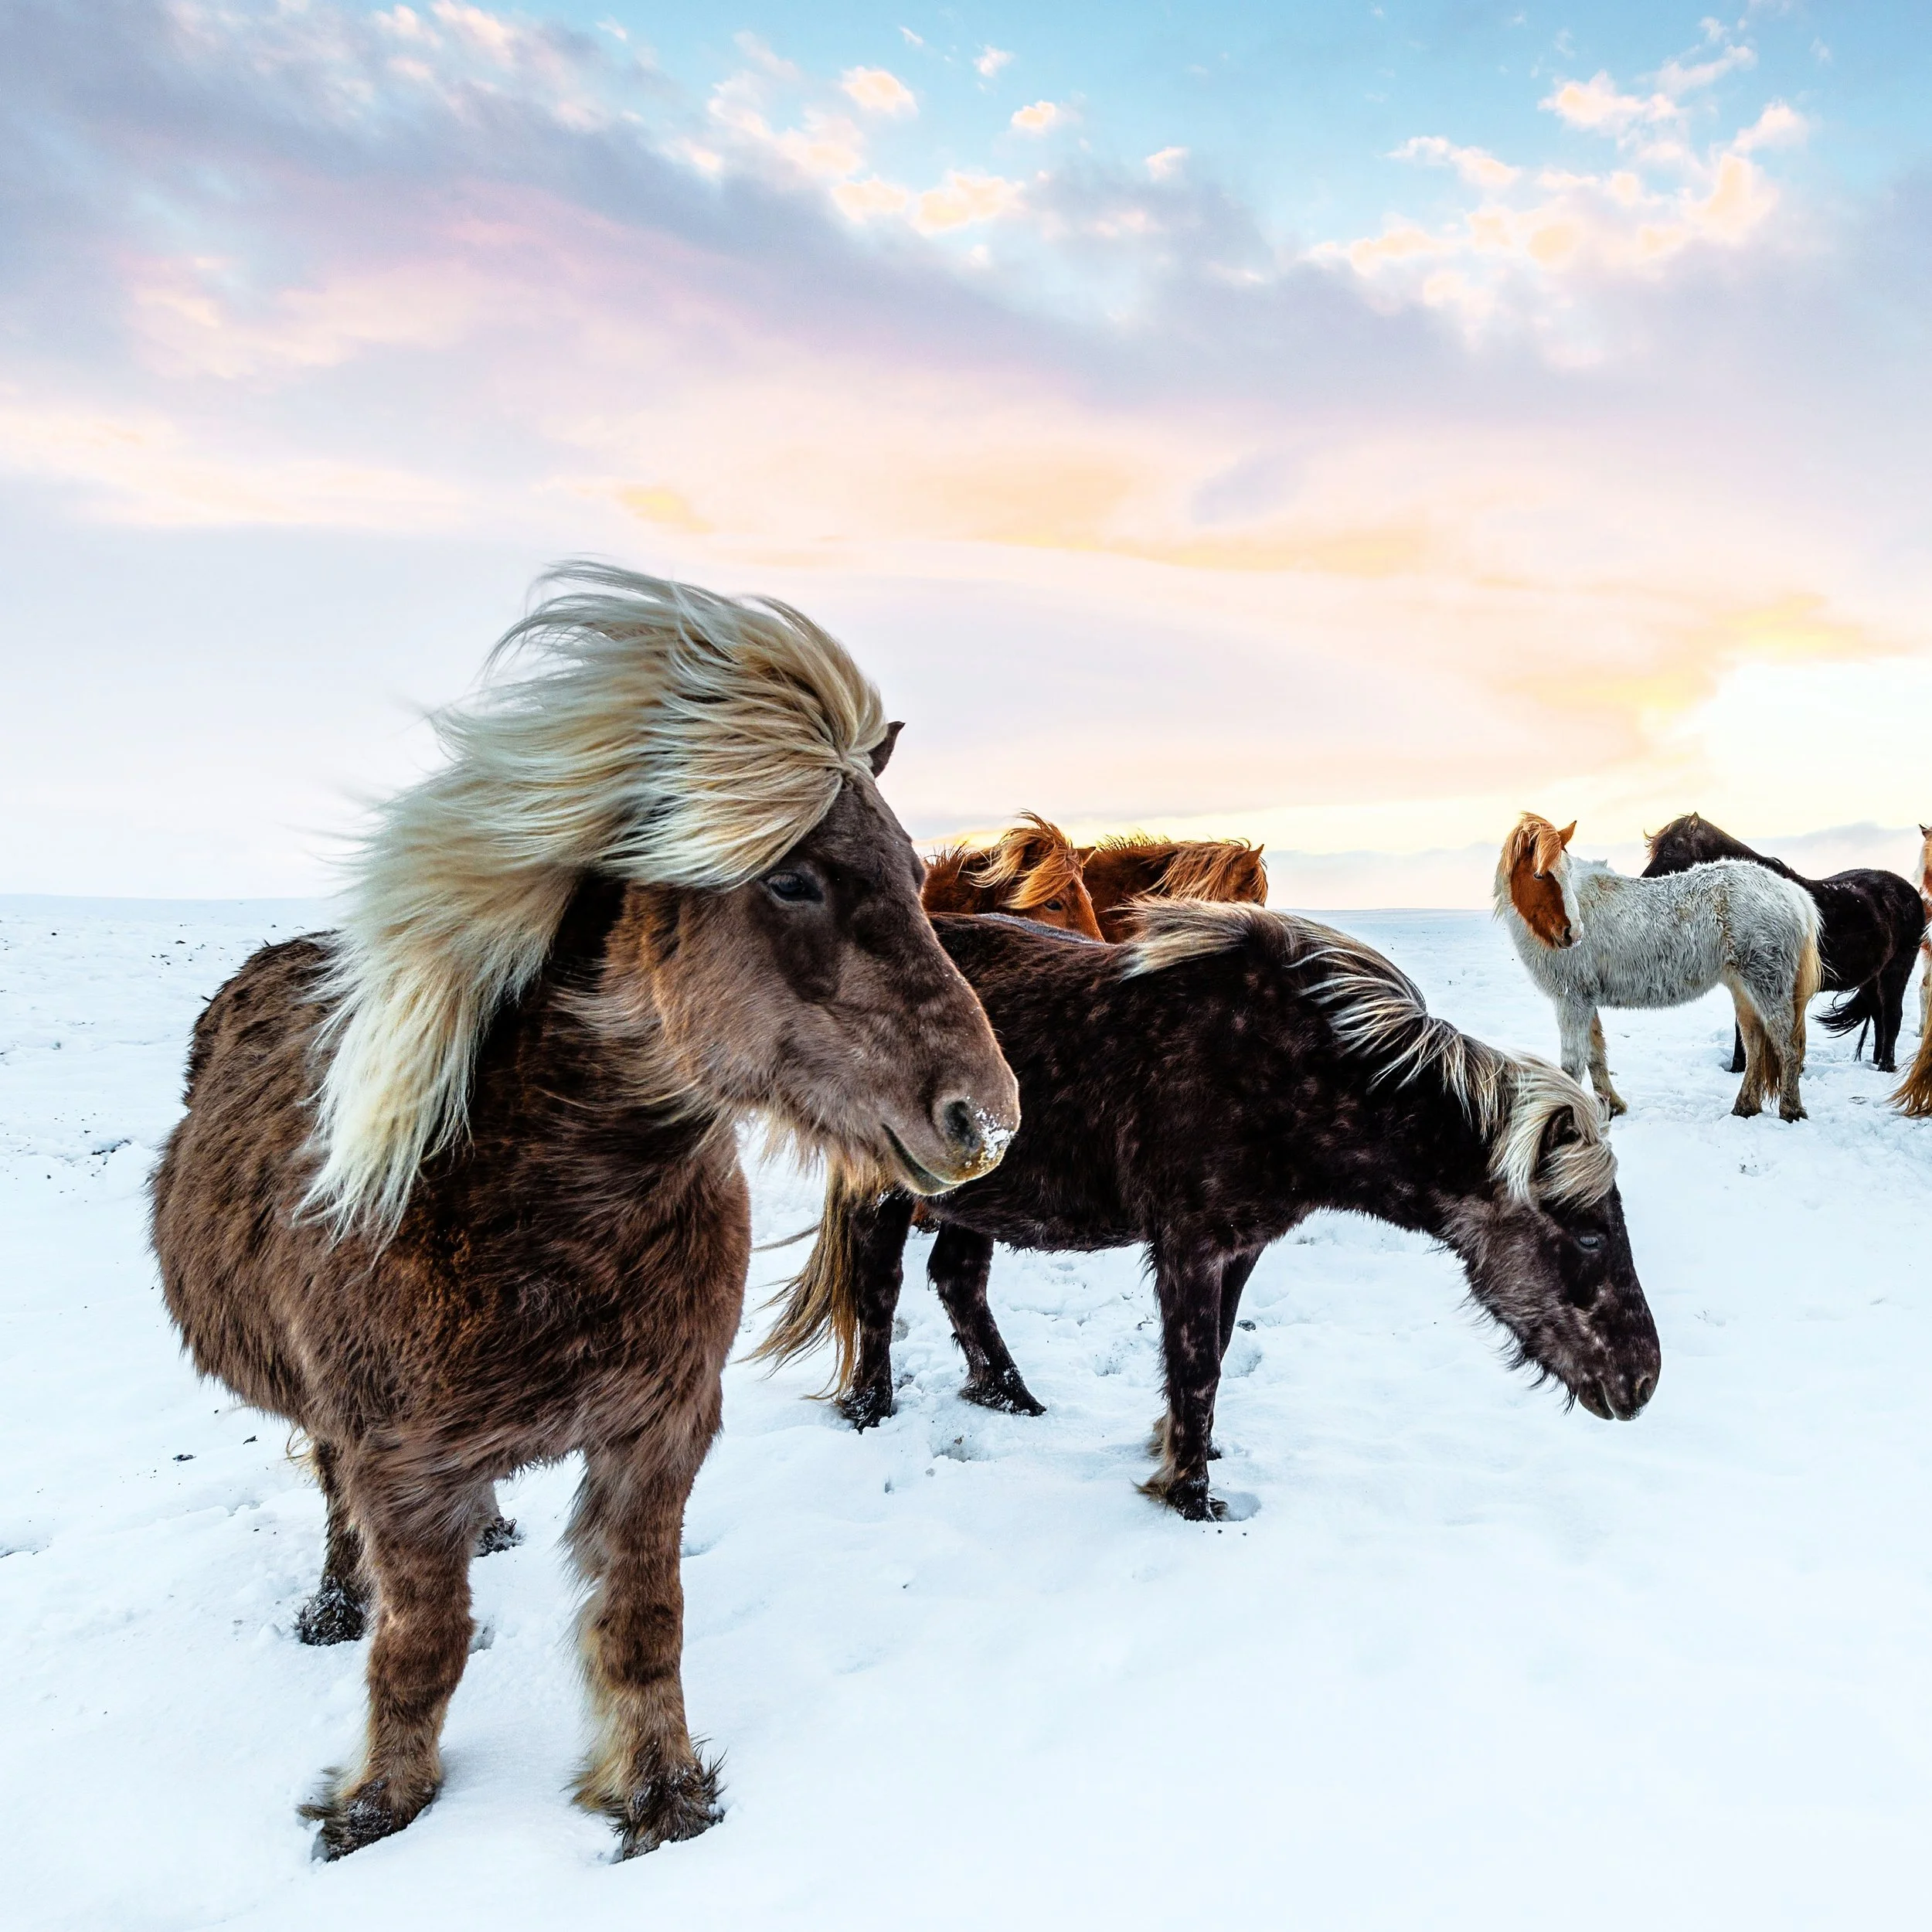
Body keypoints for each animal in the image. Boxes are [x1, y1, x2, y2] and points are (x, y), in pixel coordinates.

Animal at [149, 568, 1018, 1861]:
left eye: (919, 876)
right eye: (793, 878)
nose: (987, 1118)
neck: (538, 1214)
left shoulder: (657, 1436)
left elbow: (642, 1624)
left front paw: (659, 1798)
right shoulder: (400, 1467)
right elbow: (422, 1646)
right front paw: (378, 1807)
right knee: (331, 1496)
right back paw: (335, 1602)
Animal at [760, 903, 1661, 1518]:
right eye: (1588, 1233)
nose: (1643, 1381)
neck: (1293, 1070)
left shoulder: (1241, 1247)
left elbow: (1214, 1354)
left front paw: (1189, 1452)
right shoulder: (1190, 1245)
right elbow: (1194, 1363)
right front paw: (1191, 1497)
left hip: (975, 1196)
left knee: (957, 1279)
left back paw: (1013, 1400)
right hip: (887, 1192)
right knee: (877, 1289)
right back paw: (872, 1410)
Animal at [1498, 814, 1822, 1122]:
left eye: (1567, 872)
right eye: (1539, 875)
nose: (1573, 934)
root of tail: (1793, 893)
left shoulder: (1572, 999)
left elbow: (1572, 1066)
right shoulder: (1584, 999)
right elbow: (1595, 1055)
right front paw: (1611, 1106)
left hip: (1767, 985)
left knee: (1787, 1046)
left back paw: (1791, 1111)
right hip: (1742, 988)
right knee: (1755, 1046)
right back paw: (1745, 1108)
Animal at [1642, 811, 1925, 1075]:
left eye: (1671, 849)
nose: (1646, 883)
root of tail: (1910, 892)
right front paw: (1739, 1067)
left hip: (1897, 968)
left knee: (1892, 1015)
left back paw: (1886, 1066)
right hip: (1871, 976)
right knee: (1878, 1015)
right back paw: (1876, 1061)